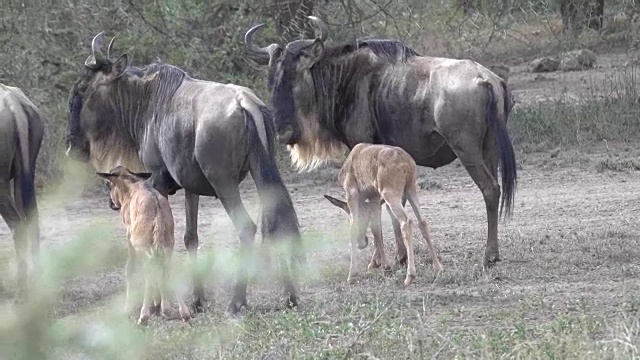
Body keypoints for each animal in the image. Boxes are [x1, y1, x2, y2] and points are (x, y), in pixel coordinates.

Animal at [95, 167, 190, 324]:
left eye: (109, 184)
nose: (111, 203)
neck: (130, 185)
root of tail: (158, 214)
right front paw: (159, 305)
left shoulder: (129, 237)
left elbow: (130, 269)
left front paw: (128, 310)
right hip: (167, 245)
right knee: (167, 268)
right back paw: (180, 312)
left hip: (144, 247)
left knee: (150, 273)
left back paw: (144, 316)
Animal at [324, 142, 444, 286]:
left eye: (348, 217)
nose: (362, 242)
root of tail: (405, 160)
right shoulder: (374, 198)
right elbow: (376, 228)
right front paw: (384, 266)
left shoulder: (352, 194)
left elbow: (354, 228)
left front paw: (352, 275)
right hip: (411, 189)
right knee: (422, 222)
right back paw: (437, 267)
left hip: (390, 194)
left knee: (406, 221)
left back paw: (410, 275)